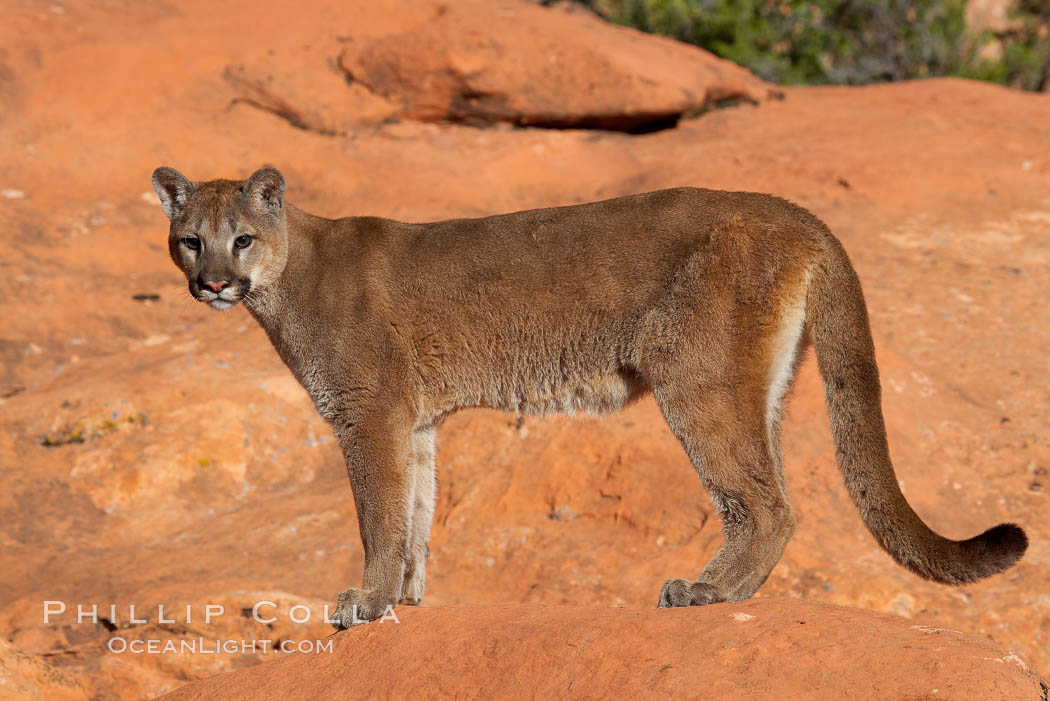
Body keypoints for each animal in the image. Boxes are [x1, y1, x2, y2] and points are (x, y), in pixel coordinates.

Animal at [150, 167, 1024, 625]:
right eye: (190, 239)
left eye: (242, 238)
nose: (213, 282)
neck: (289, 276)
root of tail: (793, 210)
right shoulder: (414, 421)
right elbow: (416, 514)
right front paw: (405, 598)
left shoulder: (369, 415)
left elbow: (379, 516)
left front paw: (364, 601)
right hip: (756, 385)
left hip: (696, 378)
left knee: (767, 502)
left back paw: (708, 590)